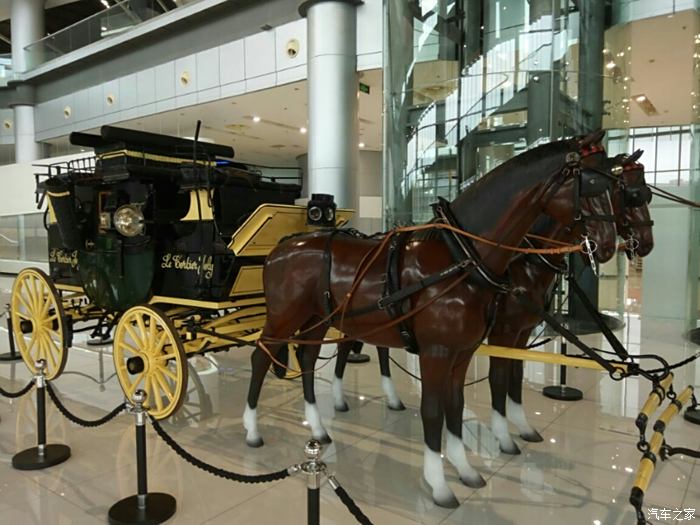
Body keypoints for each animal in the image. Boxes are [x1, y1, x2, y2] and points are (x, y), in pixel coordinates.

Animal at [243, 135, 616, 508]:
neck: (461, 257)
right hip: (283, 317)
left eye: (617, 183)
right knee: (261, 356)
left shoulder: (464, 352)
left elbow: (456, 406)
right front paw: (438, 484)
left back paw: (318, 428)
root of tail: (281, 248)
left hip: (318, 318)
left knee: (306, 357)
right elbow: (434, 410)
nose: (608, 244)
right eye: (593, 182)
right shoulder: (439, 351)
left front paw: (464, 469)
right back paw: (252, 429)